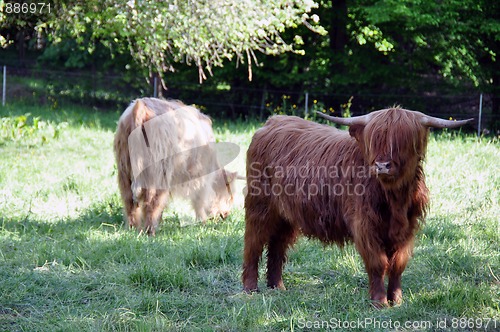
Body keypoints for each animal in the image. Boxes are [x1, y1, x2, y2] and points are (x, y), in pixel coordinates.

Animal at [114, 97, 238, 235]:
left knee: (128, 200)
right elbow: (199, 200)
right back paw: (150, 231)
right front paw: (202, 222)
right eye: (230, 195)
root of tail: (141, 108)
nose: (225, 215)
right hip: (158, 173)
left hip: (124, 169)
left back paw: (132, 228)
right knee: (152, 201)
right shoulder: (201, 177)